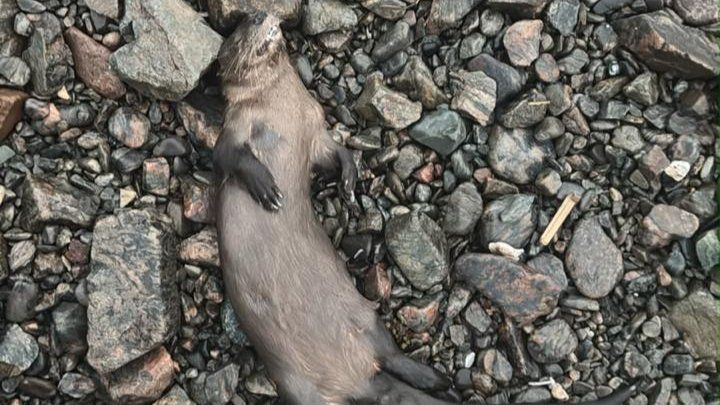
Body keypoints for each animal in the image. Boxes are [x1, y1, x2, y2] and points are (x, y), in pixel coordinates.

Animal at [213, 12, 638, 405]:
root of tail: (356, 383)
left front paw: (349, 184)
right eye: (238, 32)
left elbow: (340, 153)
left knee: (389, 352)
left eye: (249, 19)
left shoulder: (315, 129)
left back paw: (435, 378)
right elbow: (228, 157)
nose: (258, 15)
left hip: (362, 317)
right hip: (297, 385)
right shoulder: (237, 128)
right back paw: (437, 382)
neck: (280, 111)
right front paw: (267, 188)